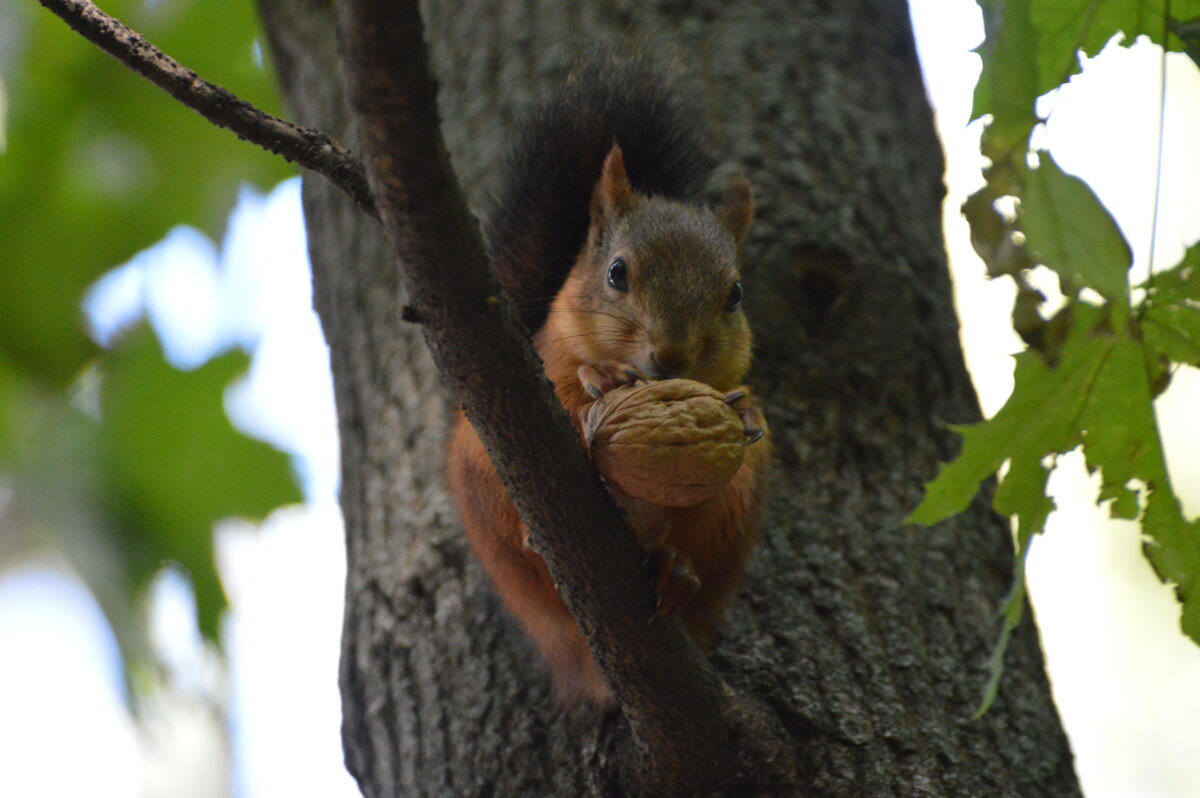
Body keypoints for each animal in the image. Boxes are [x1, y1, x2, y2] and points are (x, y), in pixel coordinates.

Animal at [448, 57, 768, 705]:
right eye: (617, 273)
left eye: (735, 294)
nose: (670, 354)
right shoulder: (535, 362)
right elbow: (572, 388)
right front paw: (598, 374)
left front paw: (744, 412)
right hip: (482, 473)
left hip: (735, 505)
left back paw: (676, 569)